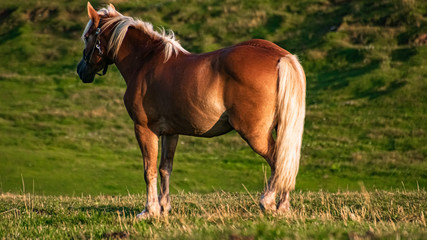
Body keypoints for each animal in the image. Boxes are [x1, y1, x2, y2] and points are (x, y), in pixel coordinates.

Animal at [76, 2, 304, 219]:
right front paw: (164, 207)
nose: (80, 70)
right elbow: (165, 168)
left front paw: (149, 210)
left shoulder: (144, 129)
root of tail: (280, 56)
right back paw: (283, 206)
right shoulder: (170, 132)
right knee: (287, 162)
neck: (145, 62)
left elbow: (149, 169)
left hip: (255, 134)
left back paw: (268, 202)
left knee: (279, 162)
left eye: (87, 37)